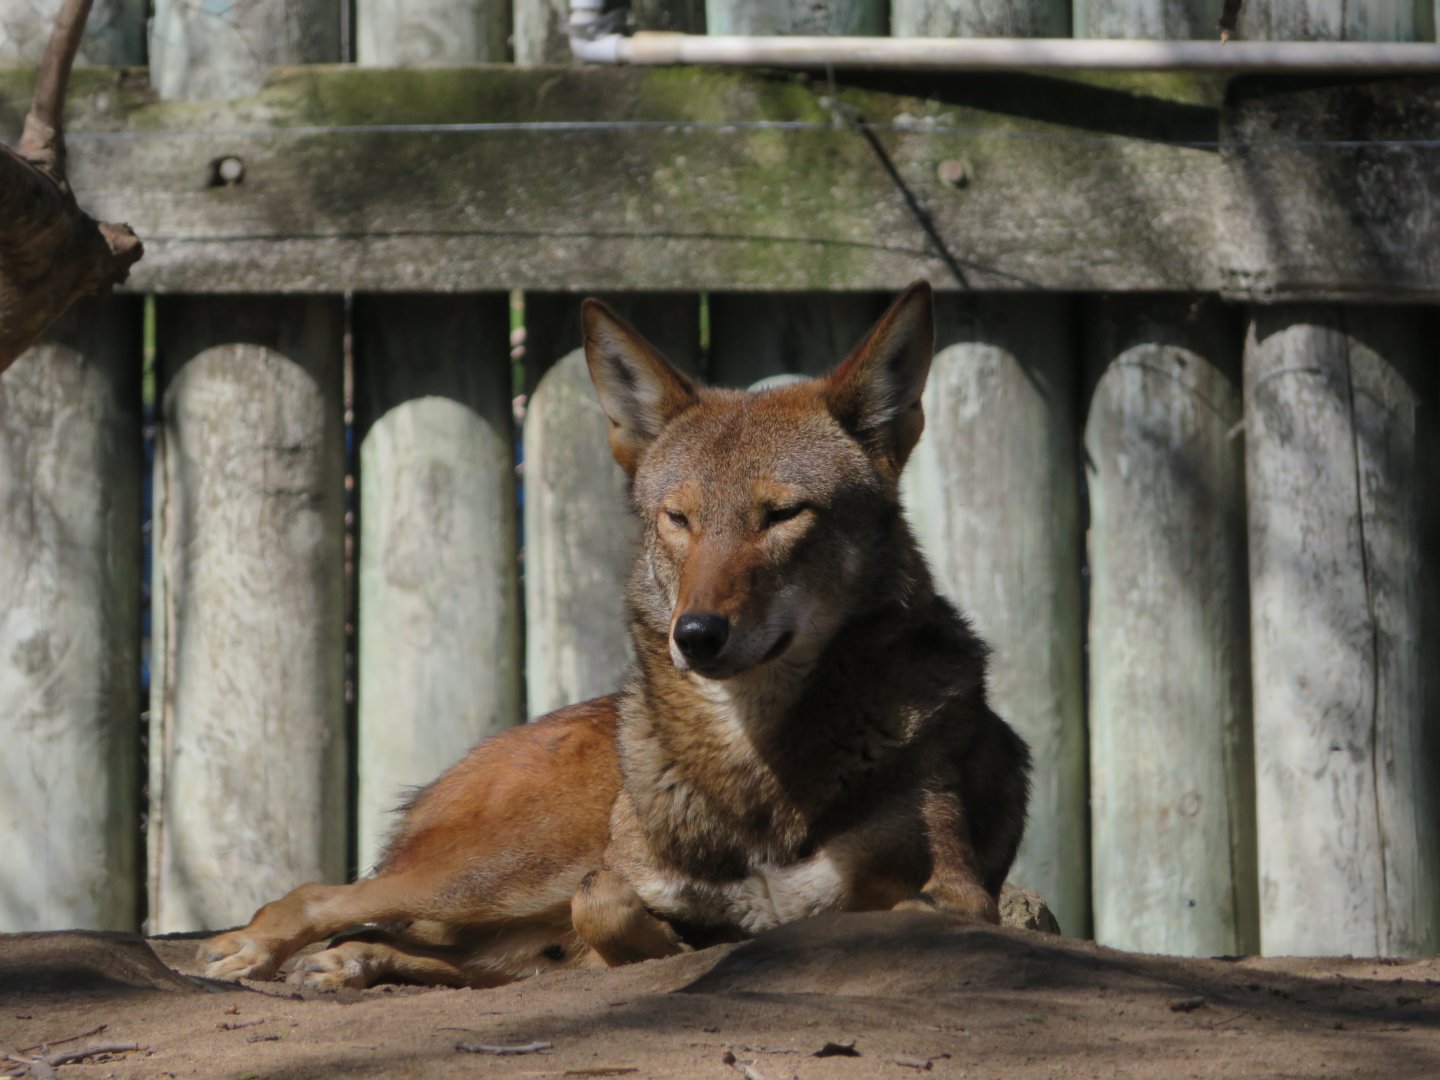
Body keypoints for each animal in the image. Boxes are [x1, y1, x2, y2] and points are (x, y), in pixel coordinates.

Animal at [198, 282, 1031, 990]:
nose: (696, 634)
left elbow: (888, 908)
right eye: (679, 518)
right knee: (321, 896)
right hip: (508, 873)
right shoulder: (614, 880)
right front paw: (674, 944)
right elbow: (607, 905)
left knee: (426, 947)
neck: (753, 768)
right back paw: (254, 949)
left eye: (782, 515)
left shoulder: (958, 893)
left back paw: (344, 963)